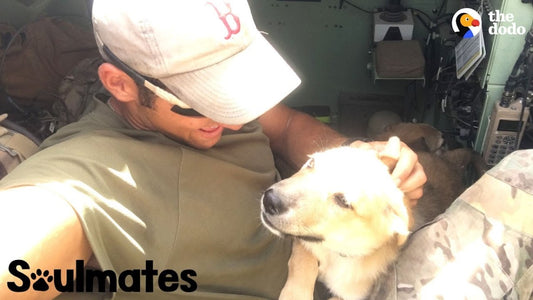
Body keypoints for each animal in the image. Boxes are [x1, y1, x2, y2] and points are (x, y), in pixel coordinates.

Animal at [260, 138, 412, 300]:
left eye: (343, 201)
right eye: (311, 163)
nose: (270, 200)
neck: (335, 253)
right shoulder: (304, 244)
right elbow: (303, 262)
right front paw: (295, 294)